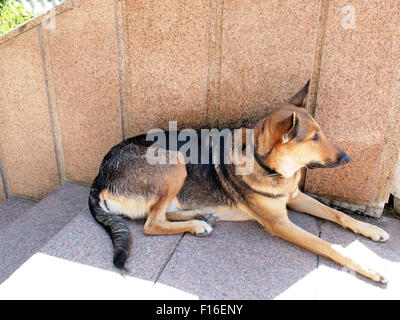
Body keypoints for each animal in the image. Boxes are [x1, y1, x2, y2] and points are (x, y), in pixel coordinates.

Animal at [89, 81, 390, 284]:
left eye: (322, 133)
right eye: (314, 137)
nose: (348, 158)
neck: (269, 167)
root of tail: (99, 174)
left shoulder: (295, 197)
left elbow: (338, 214)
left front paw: (371, 229)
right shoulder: (280, 223)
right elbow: (329, 246)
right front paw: (369, 268)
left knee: (162, 214)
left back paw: (200, 215)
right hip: (175, 162)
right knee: (151, 224)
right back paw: (197, 224)